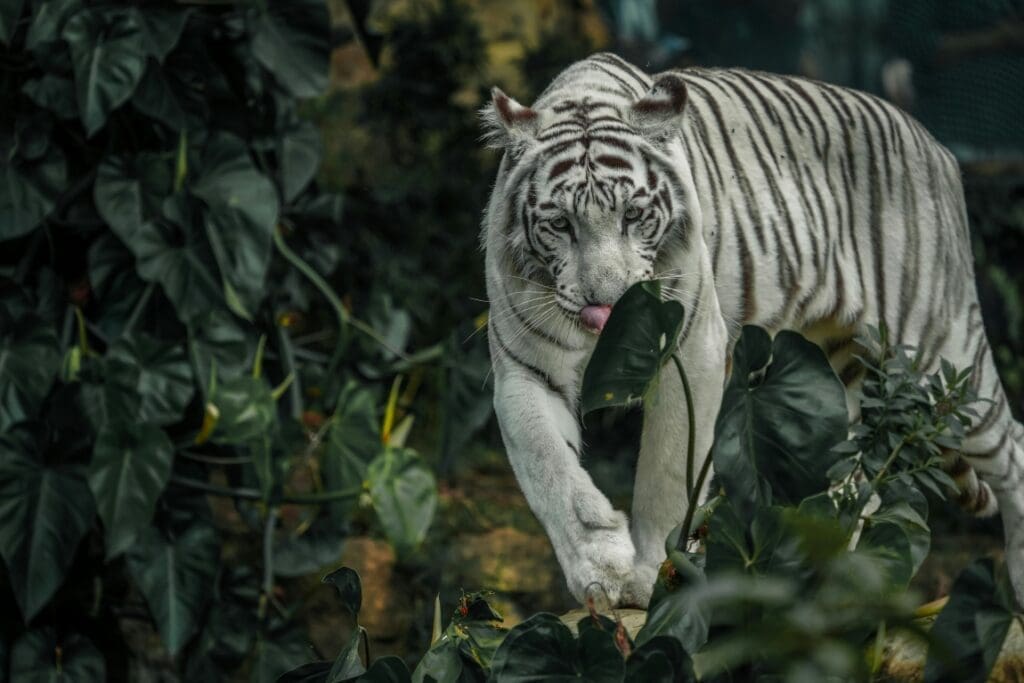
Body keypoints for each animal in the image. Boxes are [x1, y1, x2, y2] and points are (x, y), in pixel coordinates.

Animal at [480, 52, 1024, 608]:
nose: (605, 306)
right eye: (561, 224)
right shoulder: (524, 371)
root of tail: (937, 145)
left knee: (1012, 448)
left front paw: (651, 575)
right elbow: (548, 466)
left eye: (633, 215)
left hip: (939, 354)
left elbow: (667, 475)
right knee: (857, 481)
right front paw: (600, 566)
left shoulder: (690, 355)